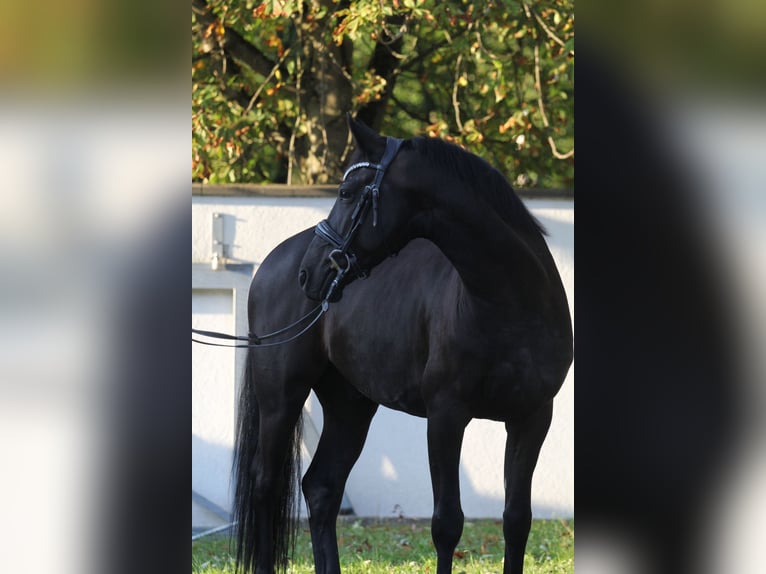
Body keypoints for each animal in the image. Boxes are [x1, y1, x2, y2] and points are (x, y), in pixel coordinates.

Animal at [234, 118, 576, 574]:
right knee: (266, 485)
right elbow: (447, 523)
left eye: (346, 193)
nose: (310, 272)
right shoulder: (446, 416)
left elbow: (517, 520)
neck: (511, 303)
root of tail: (274, 262)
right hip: (280, 397)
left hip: (350, 406)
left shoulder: (533, 417)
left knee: (322, 487)